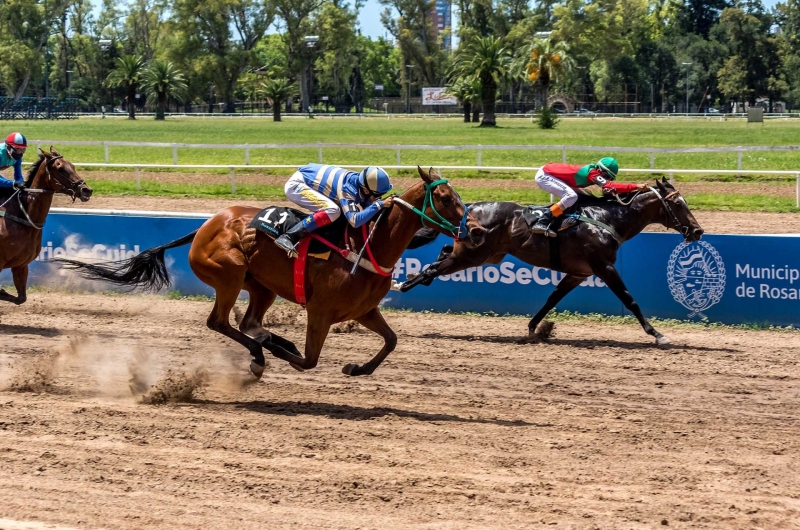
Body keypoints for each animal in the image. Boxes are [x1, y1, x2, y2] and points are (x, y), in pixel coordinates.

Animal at [0, 148, 92, 306]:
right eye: (60, 169)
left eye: (73, 166)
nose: (86, 190)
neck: (23, 216)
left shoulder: (21, 265)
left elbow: (20, 298)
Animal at [59, 165, 484, 376]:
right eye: (444, 197)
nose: (477, 230)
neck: (370, 243)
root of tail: (205, 226)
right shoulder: (321, 311)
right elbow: (310, 360)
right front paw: (284, 353)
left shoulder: (363, 310)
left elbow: (392, 341)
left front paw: (356, 368)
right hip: (228, 275)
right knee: (220, 323)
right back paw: (262, 354)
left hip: (262, 286)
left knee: (247, 323)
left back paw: (267, 345)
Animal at [400, 177, 700, 342]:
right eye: (677, 204)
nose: (697, 231)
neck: (607, 219)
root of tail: (468, 208)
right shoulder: (604, 266)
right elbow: (630, 299)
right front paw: (657, 334)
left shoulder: (579, 273)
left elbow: (552, 299)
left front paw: (535, 328)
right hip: (473, 255)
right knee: (436, 268)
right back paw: (406, 283)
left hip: (484, 255)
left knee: (442, 256)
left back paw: (413, 279)